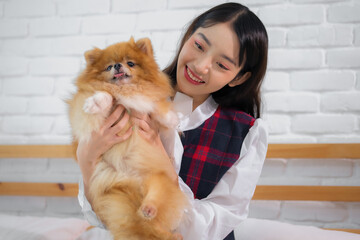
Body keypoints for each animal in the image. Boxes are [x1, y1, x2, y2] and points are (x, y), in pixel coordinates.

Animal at [67, 37, 187, 240]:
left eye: (130, 63)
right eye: (108, 67)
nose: (117, 65)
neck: (127, 90)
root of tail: (134, 184)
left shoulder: (147, 102)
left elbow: (155, 106)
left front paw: (171, 118)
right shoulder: (85, 114)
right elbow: (106, 95)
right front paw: (97, 102)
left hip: (159, 178)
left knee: (155, 198)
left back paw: (150, 209)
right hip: (118, 192)